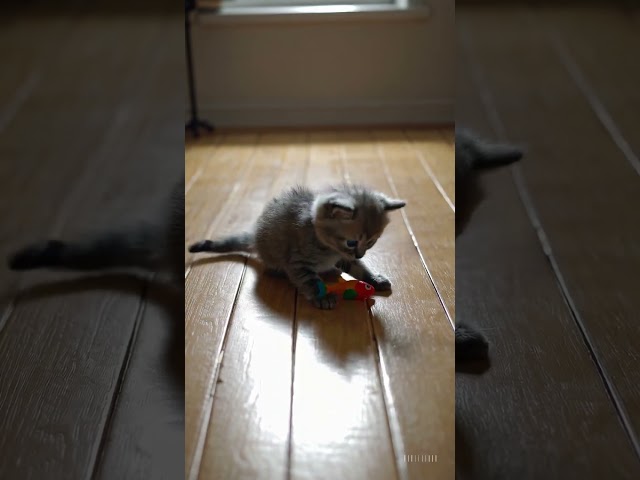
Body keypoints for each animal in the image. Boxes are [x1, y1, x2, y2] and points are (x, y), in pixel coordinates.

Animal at [188, 182, 404, 310]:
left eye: (371, 242)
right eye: (351, 242)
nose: (360, 254)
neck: (329, 248)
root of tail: (255, 237)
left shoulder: (345, 257)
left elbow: (360, 269)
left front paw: (374, 279)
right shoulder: (298, 263)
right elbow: (310, 281)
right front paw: (322, 297)